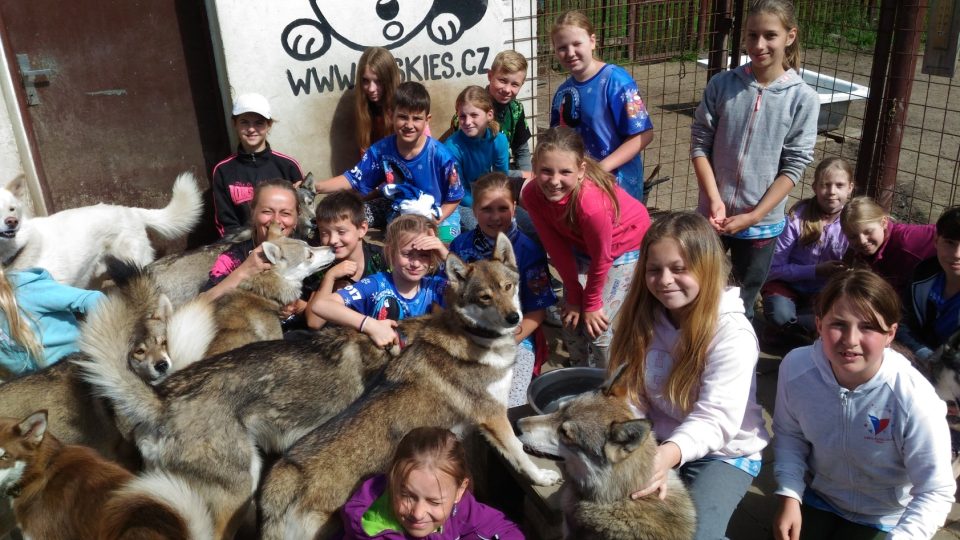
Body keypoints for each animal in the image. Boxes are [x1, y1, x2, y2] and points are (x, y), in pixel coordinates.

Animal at [260, 235, 564, 540]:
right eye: (484, 297)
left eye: (507, 287)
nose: (514, 318)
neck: (475, 336)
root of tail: (284, 478)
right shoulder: (494, 417)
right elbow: (519, 452)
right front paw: (542, 477)